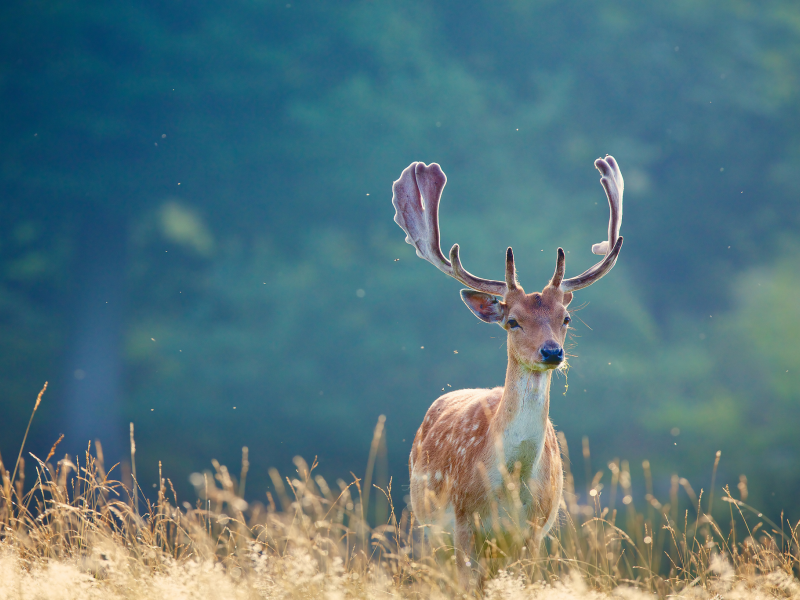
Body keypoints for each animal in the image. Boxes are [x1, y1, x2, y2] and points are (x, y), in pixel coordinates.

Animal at [394, 154, 624, 584]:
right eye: (512, 321)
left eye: (565, 318)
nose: (552, 352)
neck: (511, 484)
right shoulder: (463, 524)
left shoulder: (533, 532)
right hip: (426, 527)